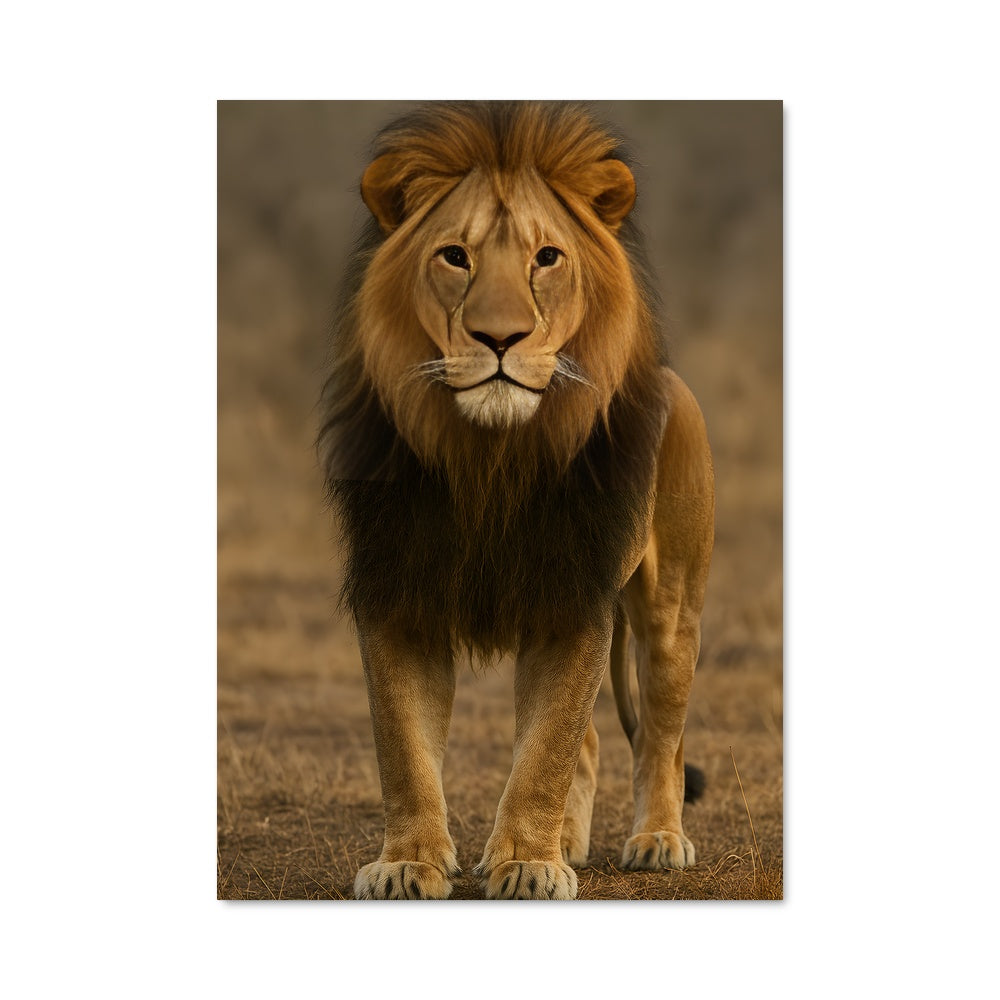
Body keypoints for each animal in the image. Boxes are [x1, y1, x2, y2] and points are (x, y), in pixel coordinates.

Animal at [318, 102, 714, 900]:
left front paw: (528, 865)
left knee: (660, 735)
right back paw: (571, 841)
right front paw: (408, 862)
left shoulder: (573, 596)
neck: (488, 460)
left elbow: (547, 747)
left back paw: (657, 839)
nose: (500, 337)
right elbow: (403, 746)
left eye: (547, 258)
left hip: (671, 610)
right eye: (455, 257)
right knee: (591, 740)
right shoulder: (397, 591)